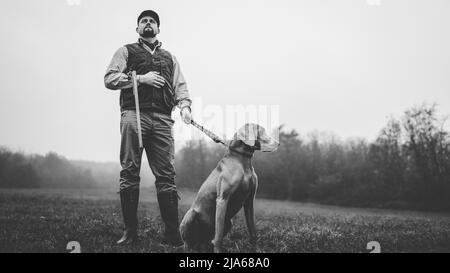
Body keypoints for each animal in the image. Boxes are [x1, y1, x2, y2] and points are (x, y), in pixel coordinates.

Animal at [178, 122, 278, 251]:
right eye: (262, 131)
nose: (278, 143)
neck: (243, 161)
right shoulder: (222, 199)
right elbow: (219, 236)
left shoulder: (249, 200)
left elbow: (252, 230)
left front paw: (256, 249)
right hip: (191, 215)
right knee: (190, 243)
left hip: (229, 223)